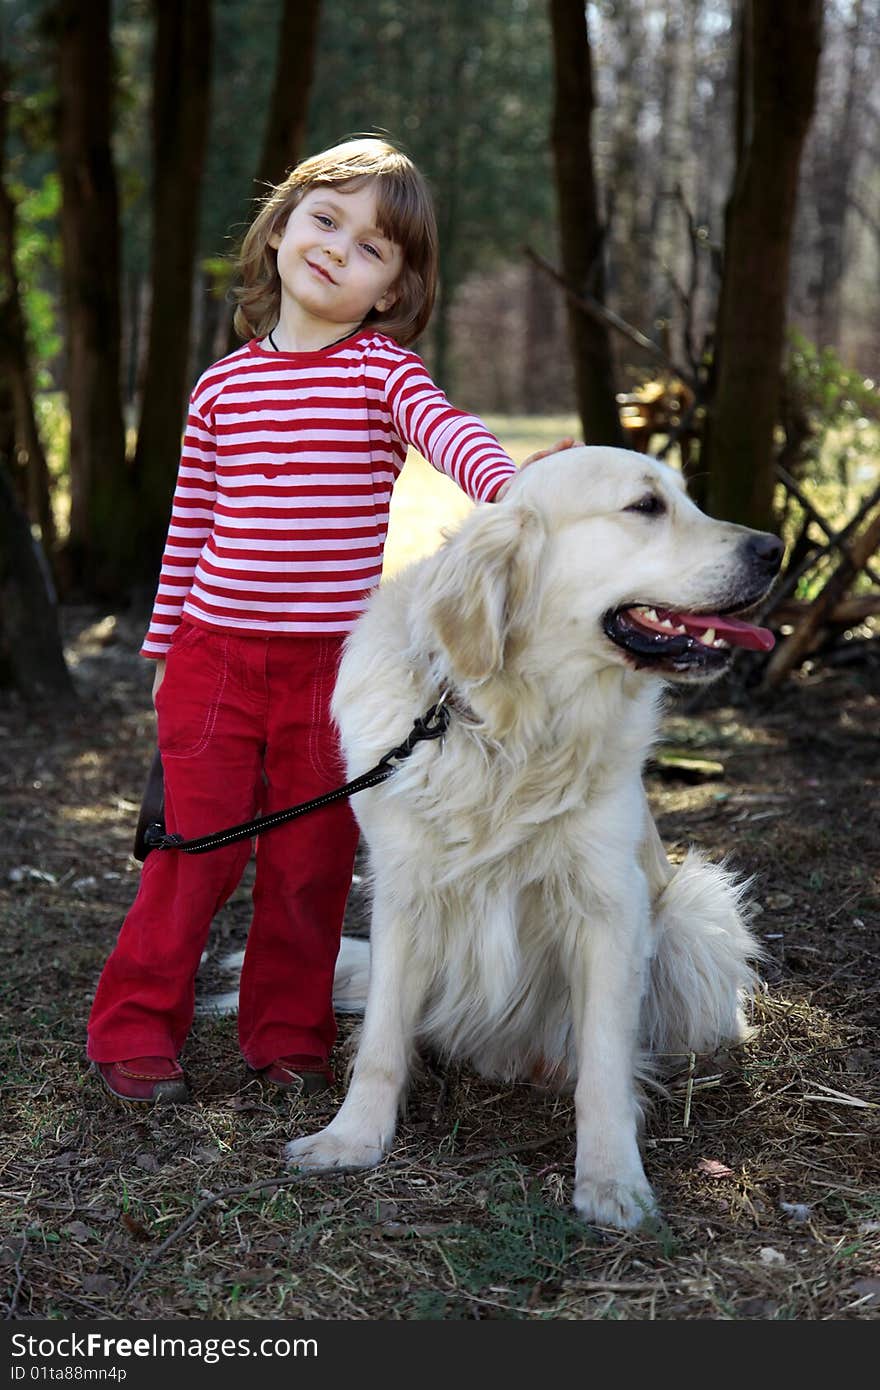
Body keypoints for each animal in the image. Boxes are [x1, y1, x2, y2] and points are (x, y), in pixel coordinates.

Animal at [283, 447, 784, 1228]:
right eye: (646, 506)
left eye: (687, 498)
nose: (775, 549)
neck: (515, 725)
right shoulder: (403, 894)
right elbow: (382, 1040)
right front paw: (352, 1139)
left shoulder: (611, 905)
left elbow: (605, 1065)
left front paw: (612, 1181)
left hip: (694, 910)